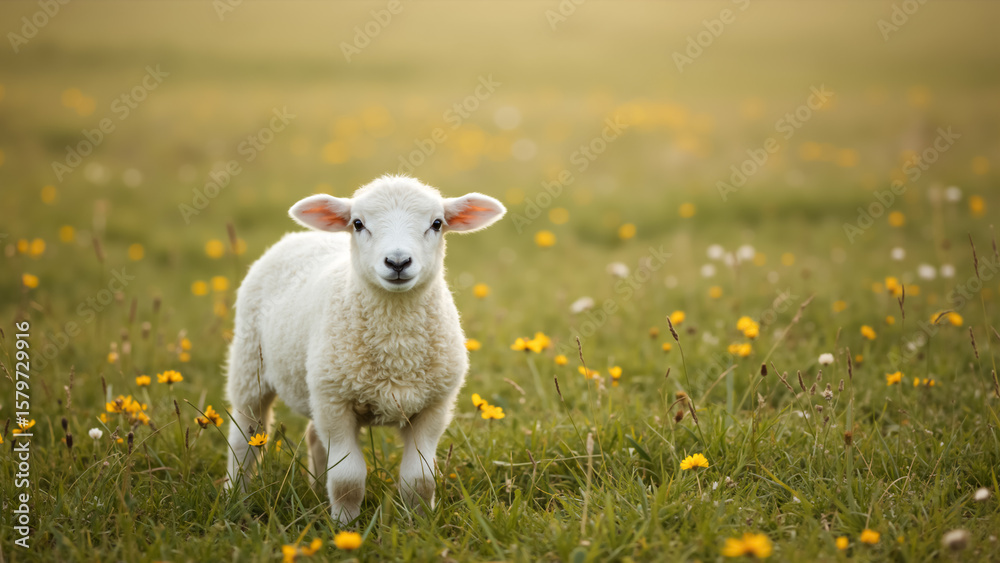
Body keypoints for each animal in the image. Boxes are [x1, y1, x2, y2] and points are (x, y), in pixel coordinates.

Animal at [223, 175, 506, 524]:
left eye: (437, 224)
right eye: (358, 223)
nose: (397, 262)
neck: (397, 346)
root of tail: (301, 236)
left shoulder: (434, 406)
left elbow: (420, 479)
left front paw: (420, 523)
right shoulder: (335, 402)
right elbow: (348, 478)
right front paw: (345, 525)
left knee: (313, 436)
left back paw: (315, 488)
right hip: (251, 365)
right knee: (244, 436)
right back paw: (236, 496)